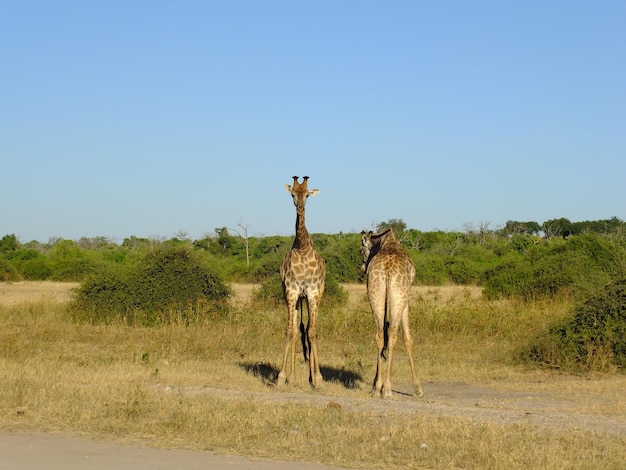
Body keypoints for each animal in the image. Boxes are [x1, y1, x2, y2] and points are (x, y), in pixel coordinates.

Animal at [358, 229, 422, 398]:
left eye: (361, 250)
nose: (362, 269)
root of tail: (387, 269)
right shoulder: (406, 299)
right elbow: (408, 338)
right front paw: (417, 388)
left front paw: (375, 384)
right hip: (399, 296)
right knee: (393, 334)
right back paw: (387, 388)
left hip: (375, 293)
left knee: (380, 334)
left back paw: (378, 387)